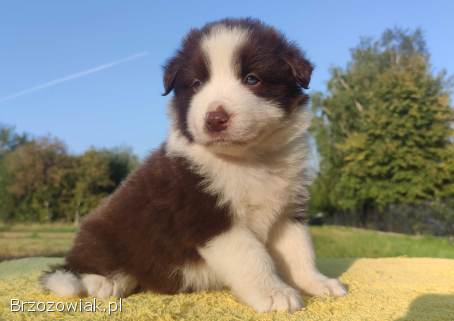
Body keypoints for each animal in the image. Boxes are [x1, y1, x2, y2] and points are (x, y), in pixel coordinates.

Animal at [40, 18, 346, 312]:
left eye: (252, 79)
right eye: (197, 84)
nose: (215, 118)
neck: (248, 160)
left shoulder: (288, 211)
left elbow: (300, 251)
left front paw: (317, 283)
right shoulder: (207, 214)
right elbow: (252, 256)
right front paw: (274, 293)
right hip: (105, 230)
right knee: (79, 265)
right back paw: (102, 282)